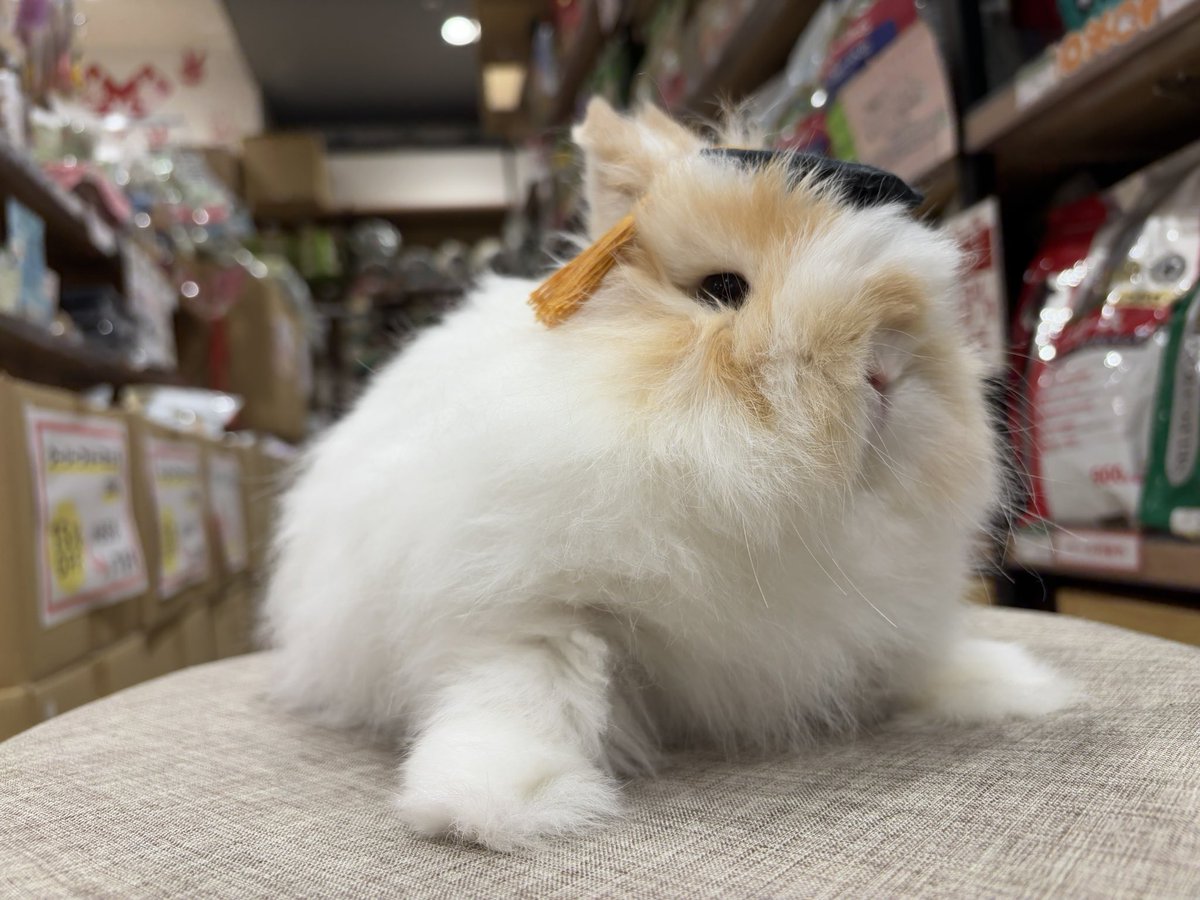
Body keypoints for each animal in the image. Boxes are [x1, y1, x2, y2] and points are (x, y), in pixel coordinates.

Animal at [262, 98, 1071, 852]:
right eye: (721, 290)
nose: (886, 369)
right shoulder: (525, 607)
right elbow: (526, 691)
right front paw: (496, 802)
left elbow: (913, 662)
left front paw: (1009, 684)